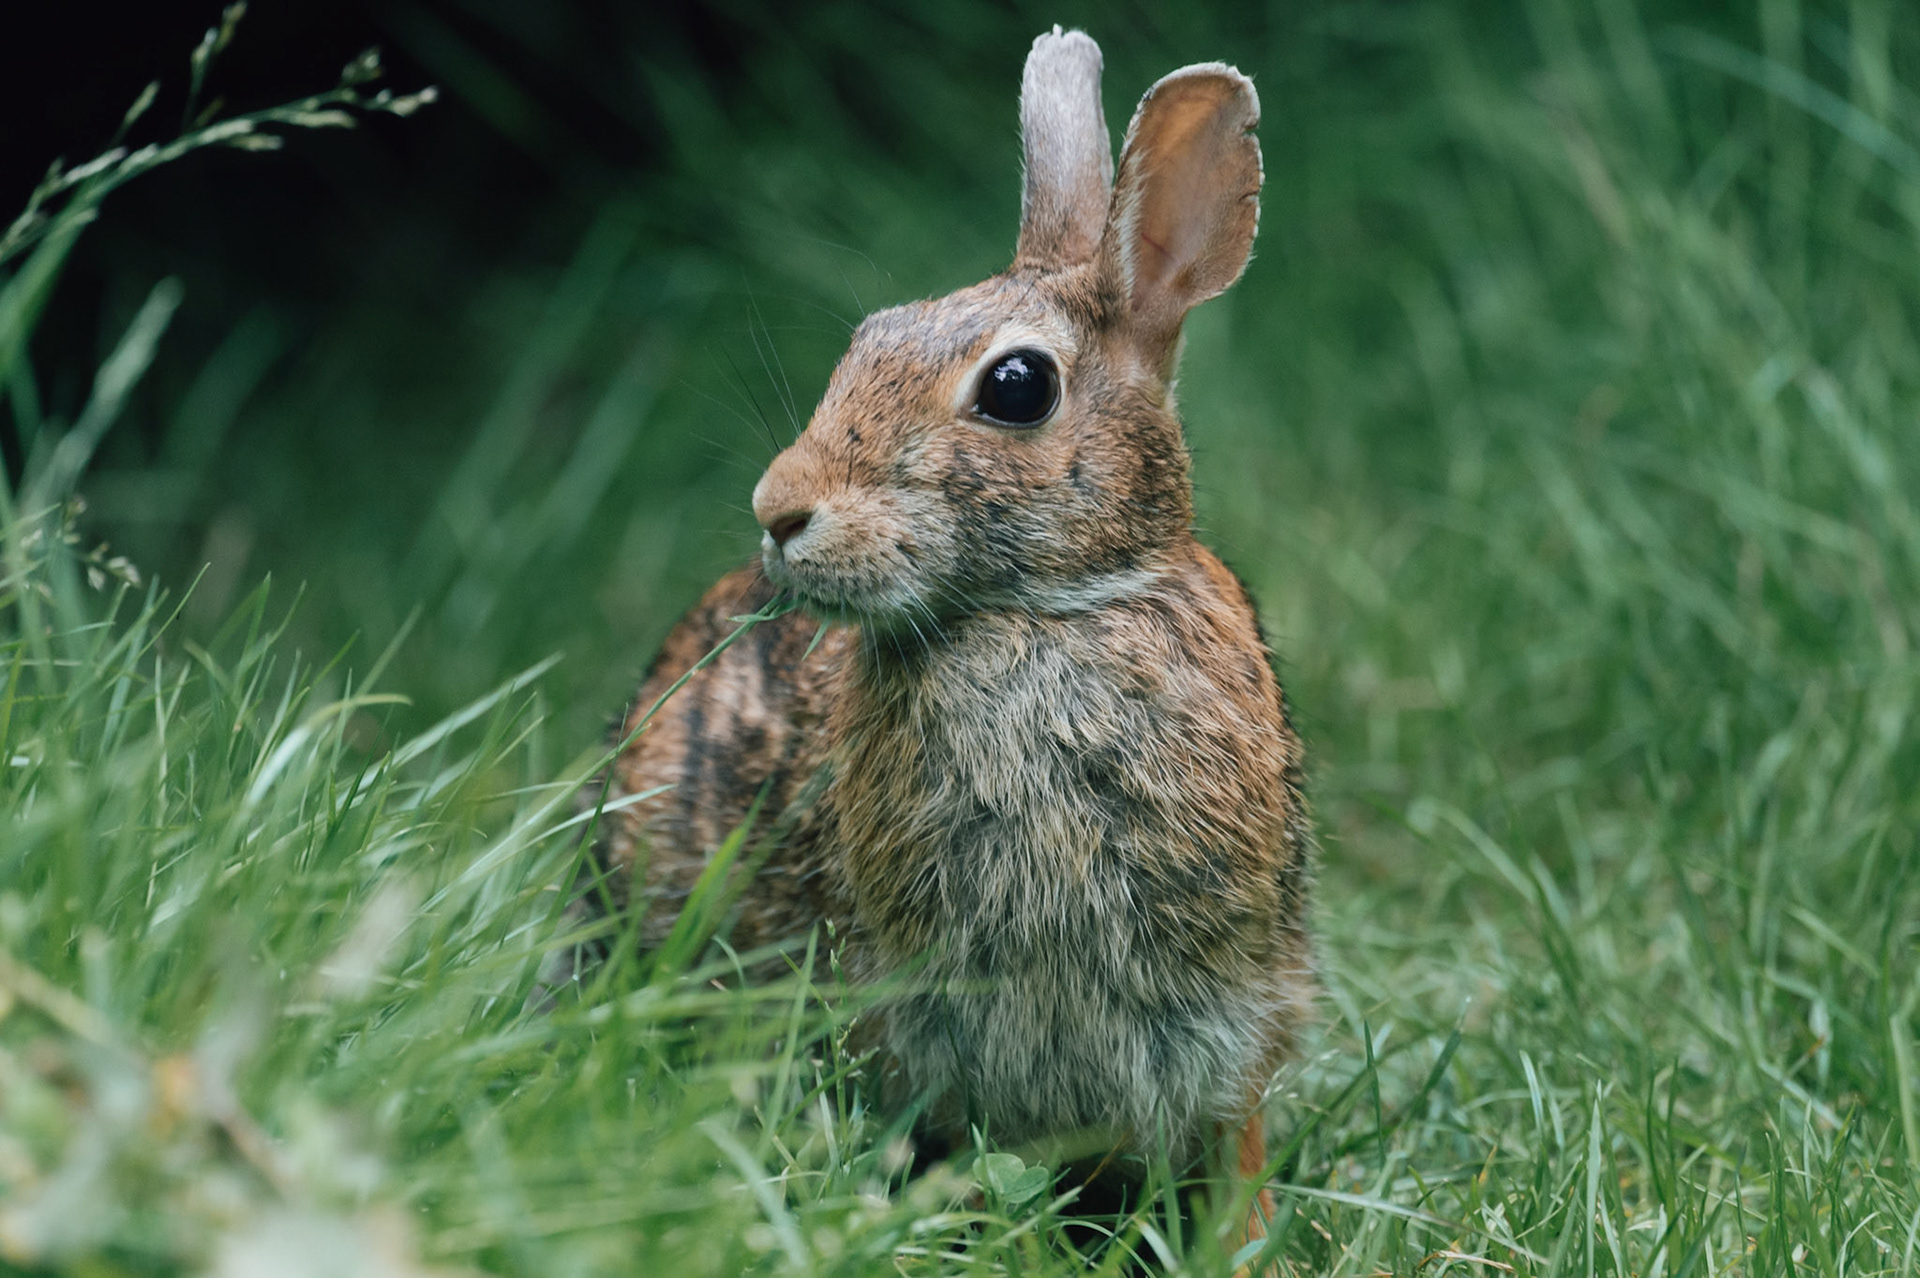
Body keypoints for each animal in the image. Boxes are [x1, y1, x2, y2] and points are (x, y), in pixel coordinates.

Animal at [586, 26, 1313, 1240]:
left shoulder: (1229, 1009)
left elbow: (1232, 1145)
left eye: (1017, 386)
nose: (778, 508)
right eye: (868, 338)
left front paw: (1245, 1246)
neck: (1038, 613)